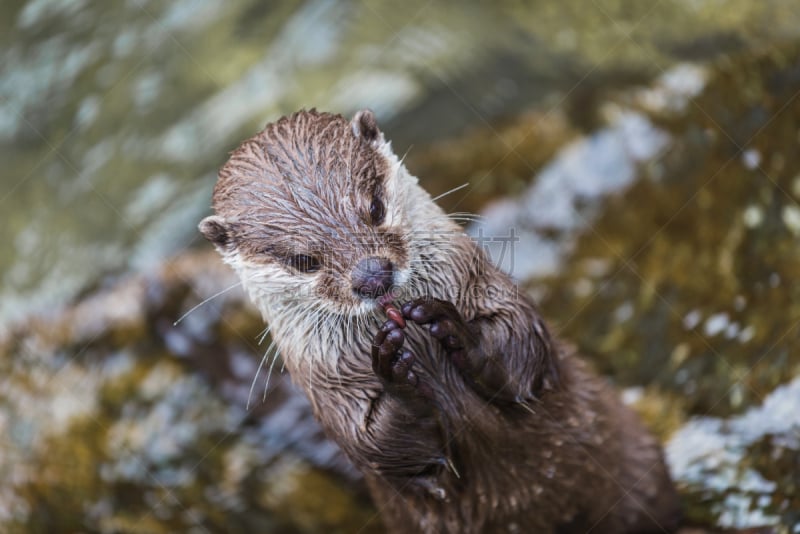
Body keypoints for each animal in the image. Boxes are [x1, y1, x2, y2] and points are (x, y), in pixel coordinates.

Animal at [197, 110, 680, 534]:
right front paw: (394, 370)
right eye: (303, 260)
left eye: (374, 207)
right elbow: (378, 444)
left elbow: (520, 345)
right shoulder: (330, 391)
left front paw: (453, 329)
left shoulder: (487, 287)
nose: (372, 276)